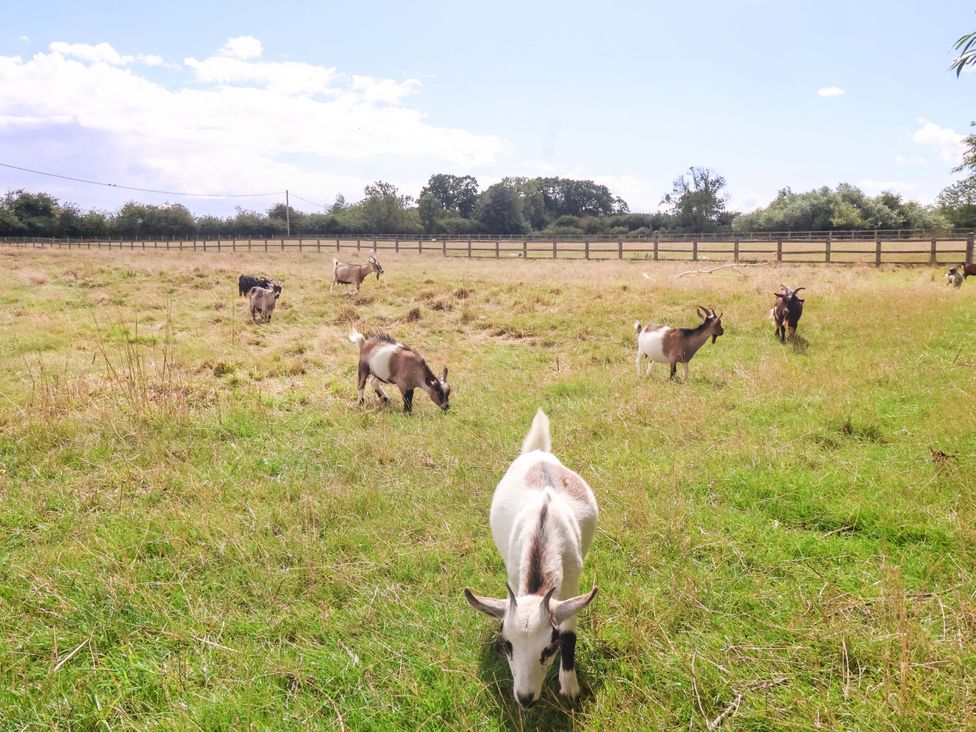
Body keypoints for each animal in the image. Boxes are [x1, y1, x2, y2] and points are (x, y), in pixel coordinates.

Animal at [465, 410, 598, 708]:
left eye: (549, 647)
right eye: (507, 644)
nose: (525, 698)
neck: (543, 531)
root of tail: (538, 453)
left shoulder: (572, 582)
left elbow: (570, 632)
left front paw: (570, 686)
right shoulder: (515, 577)